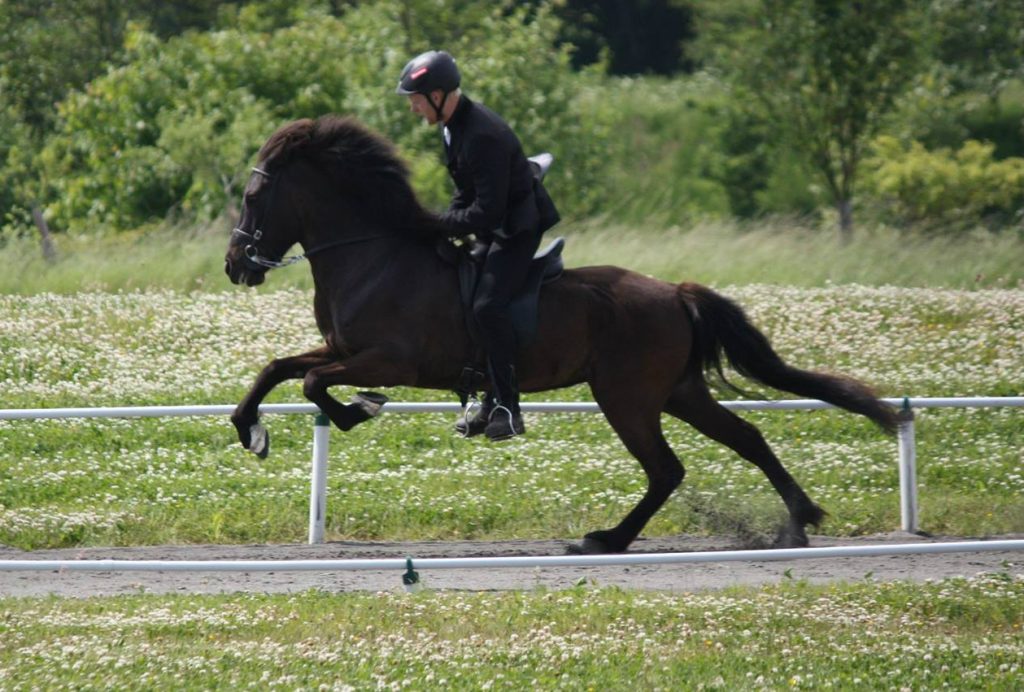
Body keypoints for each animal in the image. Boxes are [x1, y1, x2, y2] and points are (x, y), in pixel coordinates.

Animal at [226, 114, 897, 556]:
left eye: (255, 194)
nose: (236, 265)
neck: (374, 254)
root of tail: (674, 291)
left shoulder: (387, 361)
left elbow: (313, 382)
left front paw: (358, 411)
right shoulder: (343, 349)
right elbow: (277, 369)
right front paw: (252, 431)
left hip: (627, 397)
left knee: (667, 468)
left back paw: (610, 539)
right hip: (676, 393)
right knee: (744, 439)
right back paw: (795, 521)